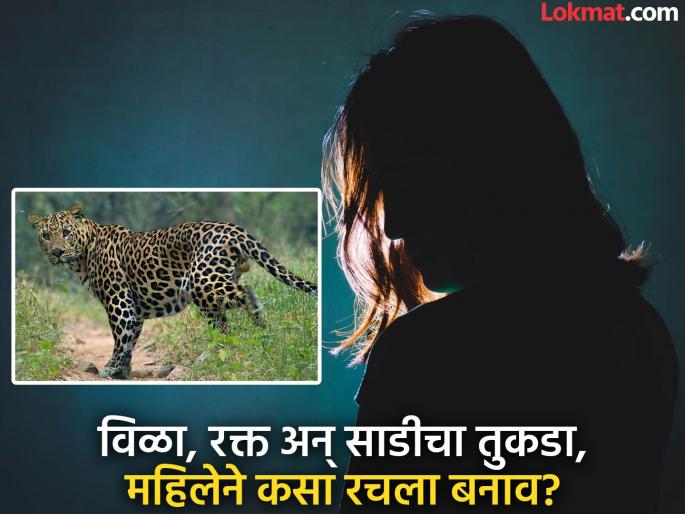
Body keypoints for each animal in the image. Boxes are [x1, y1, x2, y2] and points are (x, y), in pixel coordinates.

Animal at [27, 203, 317, 379]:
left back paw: (259, 328)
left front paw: (111, 368)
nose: (56, 252)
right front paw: (123, 370)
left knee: (246, 292)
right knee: (223, 325)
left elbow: (120, 337)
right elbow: (130, 339)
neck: (83, 255)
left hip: (202, 281)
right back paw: (220, 352)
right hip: (209, 292)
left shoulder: (118, 300)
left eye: (66, 233)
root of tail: (234, 228)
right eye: (46, 236)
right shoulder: (135, 308)